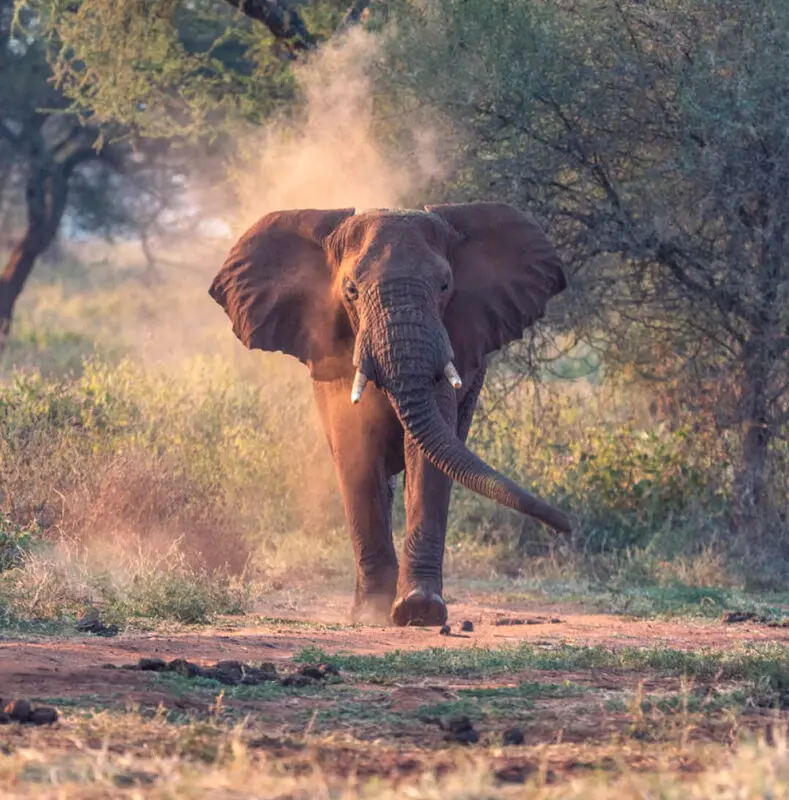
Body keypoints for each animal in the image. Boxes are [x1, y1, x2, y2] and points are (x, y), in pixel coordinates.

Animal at [209, 202, 570, 627]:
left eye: (444, 287)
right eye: (351, 291)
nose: (567, 526)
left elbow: (428, 458)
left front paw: (419, 609)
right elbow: (356, 450)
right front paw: (373, 613)